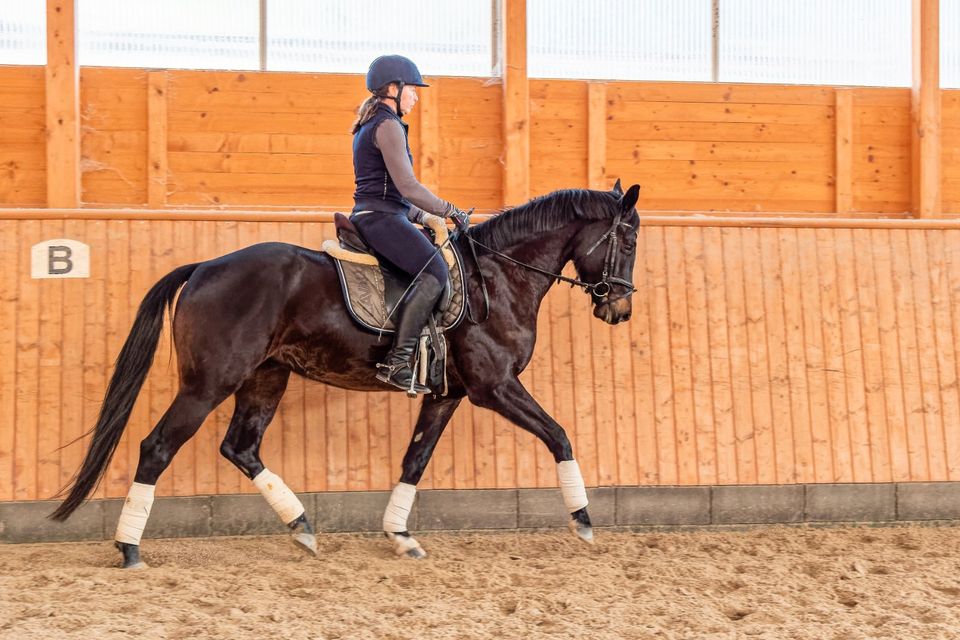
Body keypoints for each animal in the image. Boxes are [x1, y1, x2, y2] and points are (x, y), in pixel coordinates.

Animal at [48, 179, 640, 564]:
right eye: (629, 240)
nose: (620, 309)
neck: (496, 277)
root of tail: (204, 268)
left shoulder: (446, 394)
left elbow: (415, 459)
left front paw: (400, 535)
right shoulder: (495, 387)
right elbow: (559, 435)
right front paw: (583, 522)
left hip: (266, 377)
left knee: (241, 447)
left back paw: (302, 529)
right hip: (210, 382)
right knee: (157, 447)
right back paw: (129, 548)